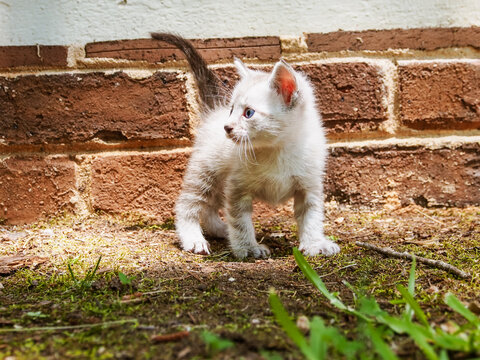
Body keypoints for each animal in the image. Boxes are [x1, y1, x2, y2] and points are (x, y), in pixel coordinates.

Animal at [152, 33, 340, 258]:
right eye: (232, 109)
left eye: (248, 113)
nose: (227, 127)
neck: (277, 149)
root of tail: (213, 112)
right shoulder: (236, 188)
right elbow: (240, 222)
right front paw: (249, 248)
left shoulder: (309, 186)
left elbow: (311, 217)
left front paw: (315, 243)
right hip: (205, 173)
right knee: (188, 205)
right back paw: (194, 239)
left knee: (209, 207)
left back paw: (219, 229)